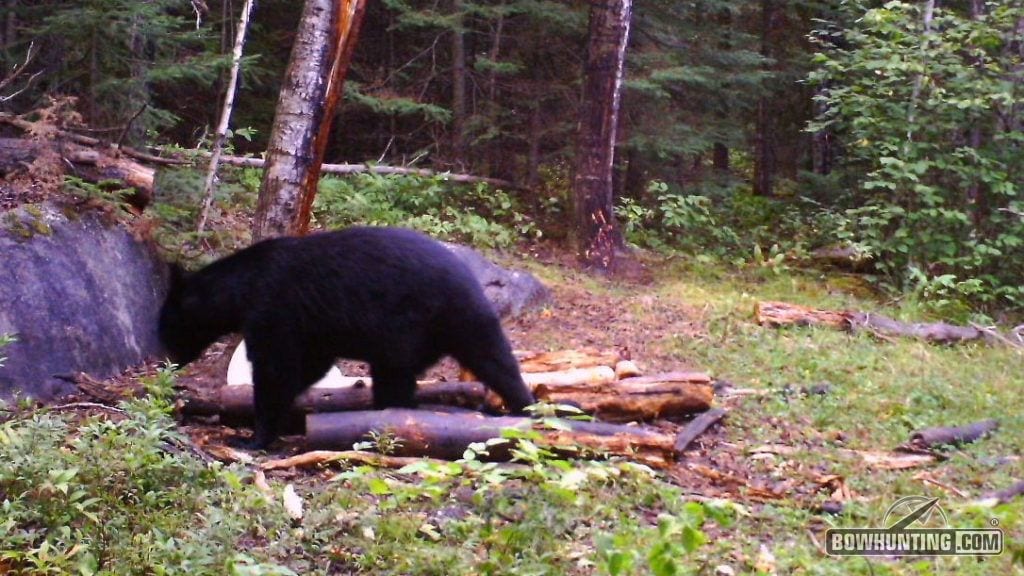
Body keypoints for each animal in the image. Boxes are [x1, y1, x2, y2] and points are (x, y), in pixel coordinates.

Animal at [158, 226, 536, 448]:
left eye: (165, 326)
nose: (167, 360)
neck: (243, 289)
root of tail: (471, 283)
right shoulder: (310, 329)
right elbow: (308, 366)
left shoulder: (274, 312)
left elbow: (276, 371)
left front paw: (253, 437)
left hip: (422, 322)